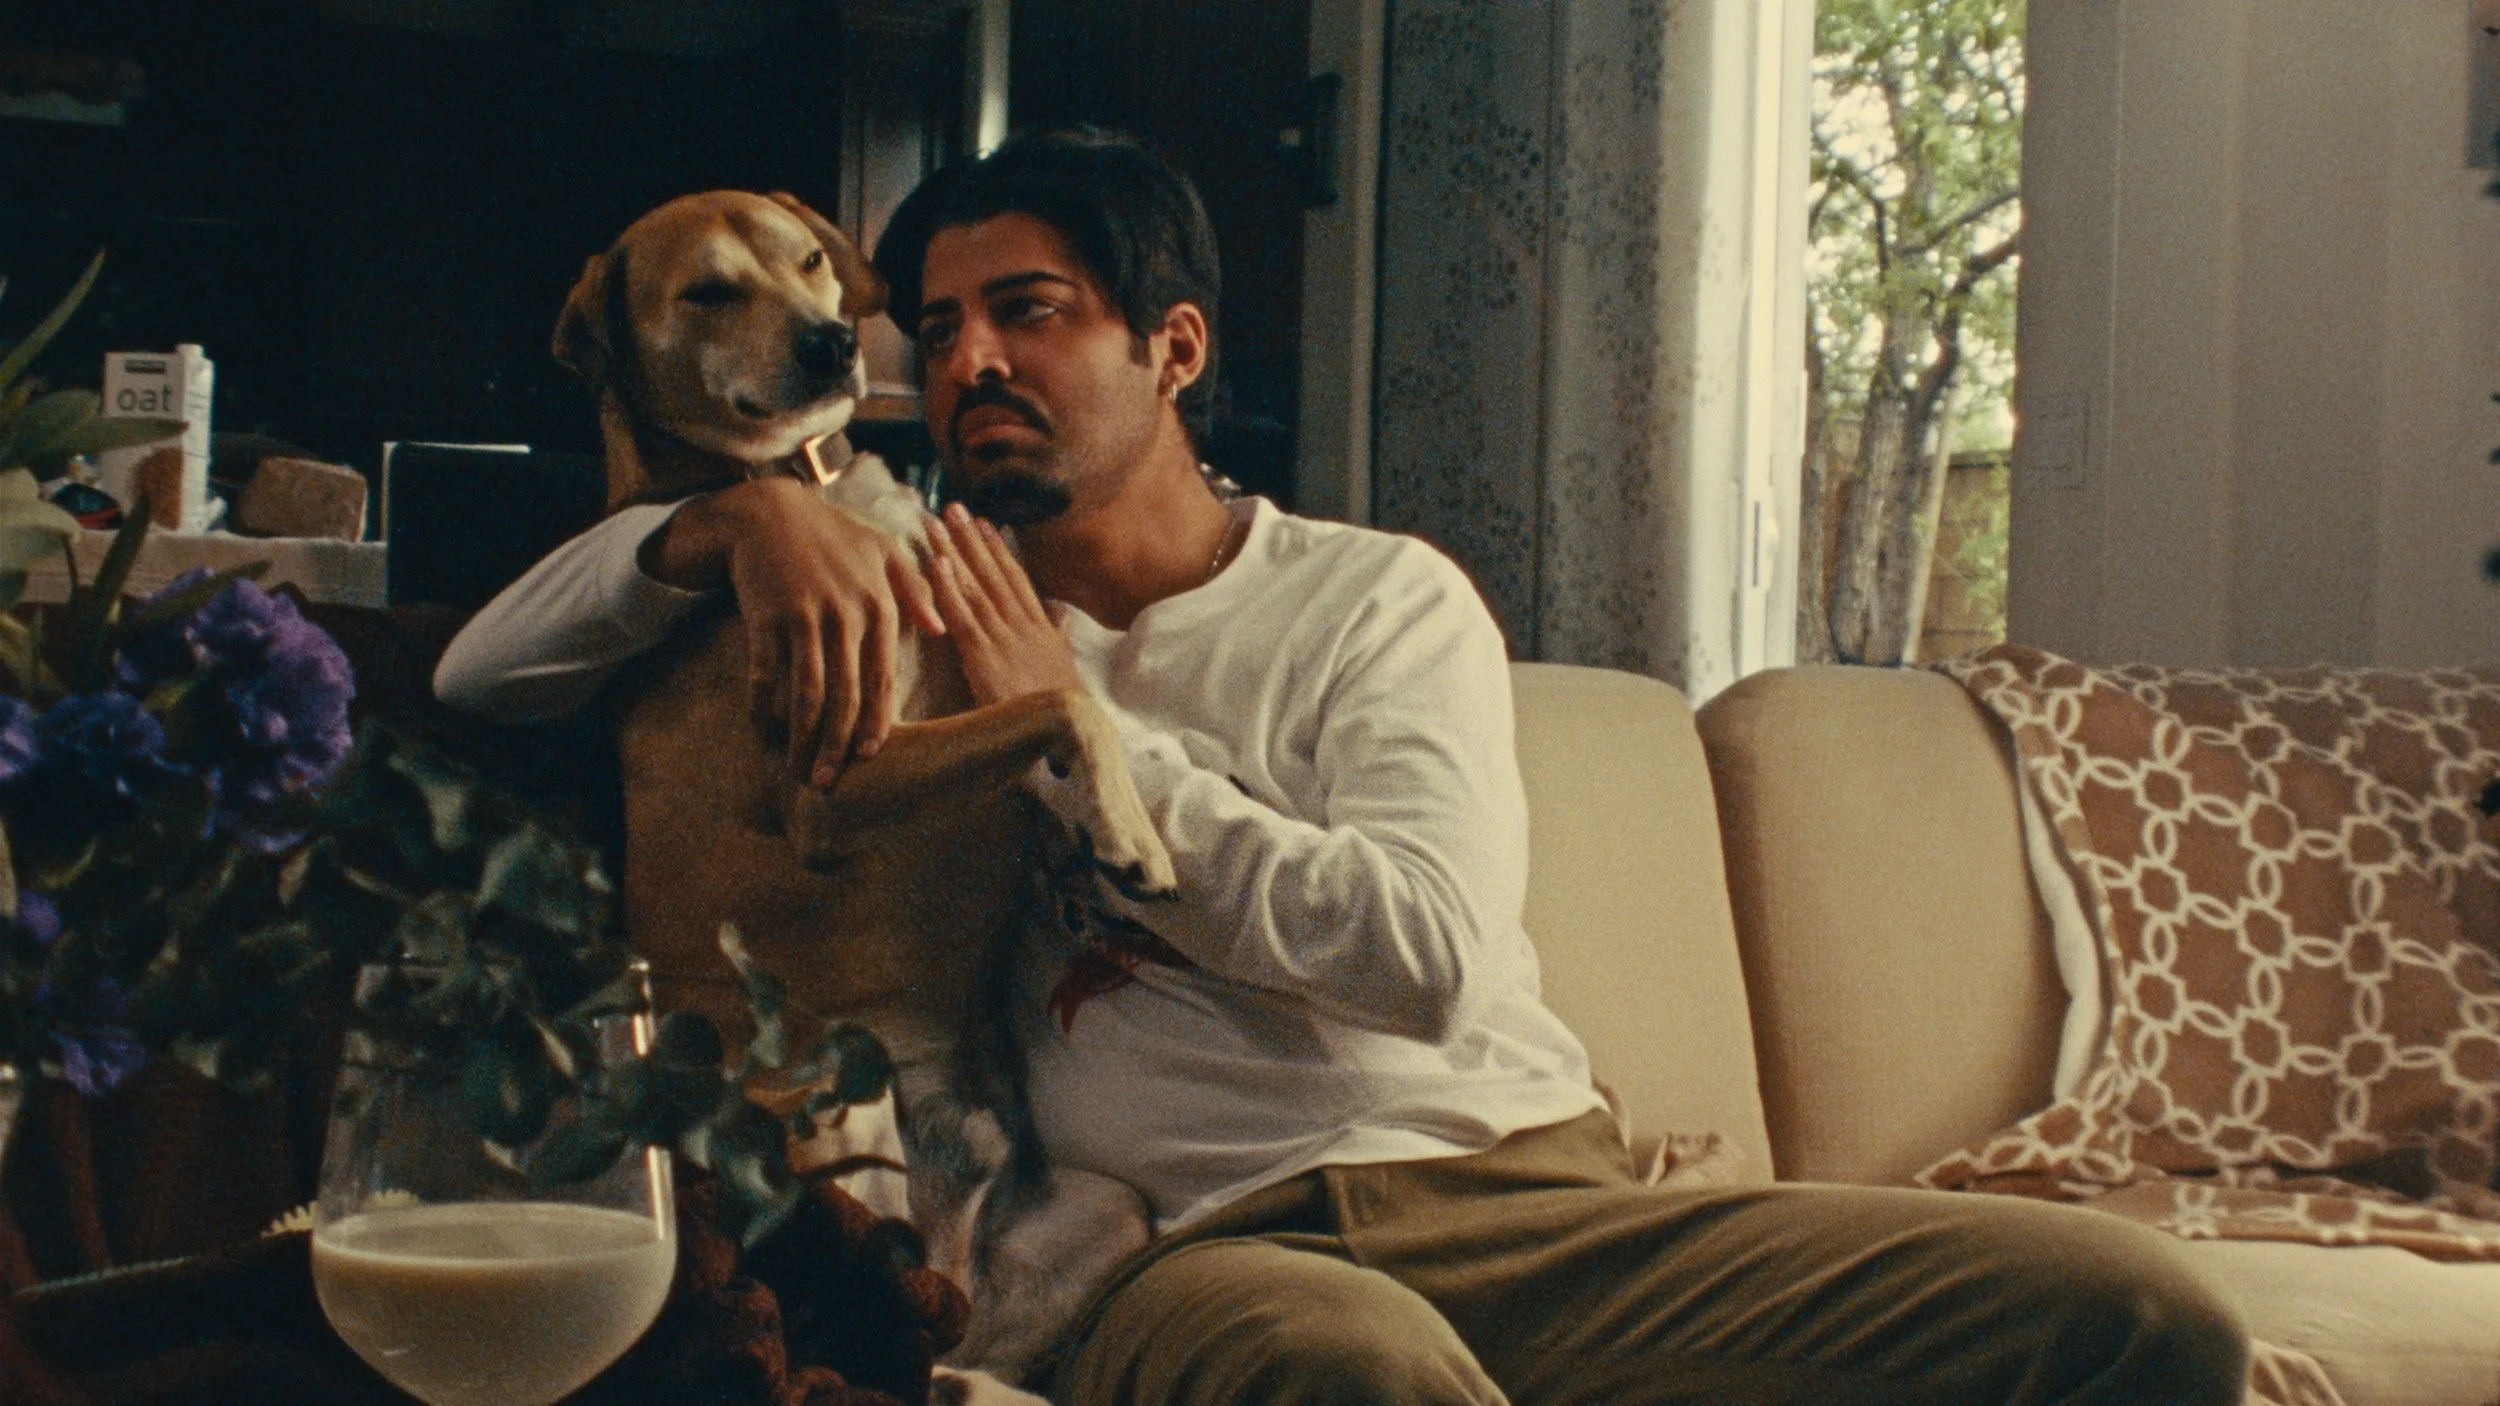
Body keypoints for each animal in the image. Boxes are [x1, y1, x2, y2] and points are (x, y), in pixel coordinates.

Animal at [551, 190, 1170, 1386]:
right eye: (707, 290)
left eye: (806, 260)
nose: (832, 342)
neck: (802, 485)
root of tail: (955, 1249)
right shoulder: (837, 780)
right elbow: (1057, 701)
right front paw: (1133, 834)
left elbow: (1052, 697)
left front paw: (1097, 821)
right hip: (838, 1100)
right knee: (891, 1339)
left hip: (1108, 1212)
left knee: (965, 1345)